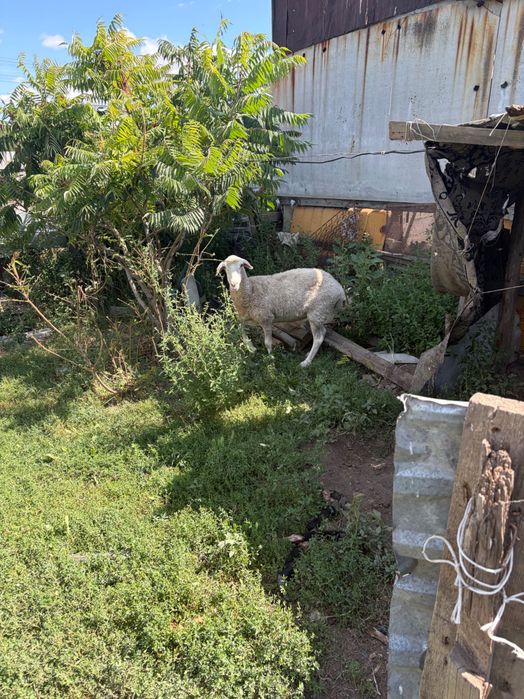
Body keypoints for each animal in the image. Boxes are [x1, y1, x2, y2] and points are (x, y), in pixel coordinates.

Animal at [216, 255, 345, 368]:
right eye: (225, 269)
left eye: (241, 266)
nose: (234, 284)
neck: (251, 291)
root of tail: (340, 291)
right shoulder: (245, 316)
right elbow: (240, 328)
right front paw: (251, 347)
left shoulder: (266, 318)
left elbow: (267, 342)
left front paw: (271, 360)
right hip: (319, 314)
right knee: (322, 333)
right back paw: (309, 354)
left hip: (317, 312)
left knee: (318, 338)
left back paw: (306, 362)